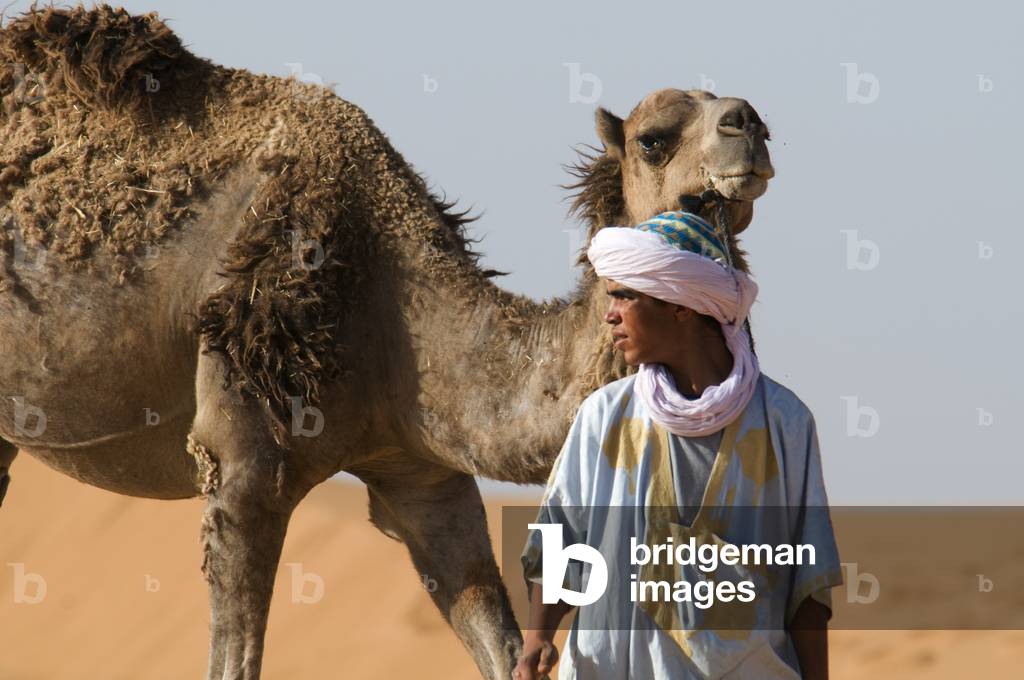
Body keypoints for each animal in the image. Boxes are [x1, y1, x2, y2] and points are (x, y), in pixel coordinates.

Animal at [0, 6, 774, 679]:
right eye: (654, 138)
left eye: (749, 117)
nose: (750, 121)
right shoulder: (239, 457)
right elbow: (234, 659)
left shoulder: (423, 471)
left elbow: (497, 640)